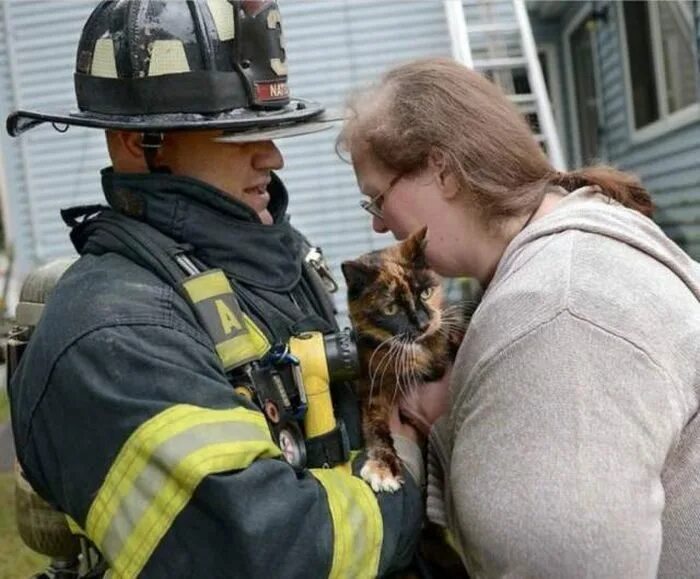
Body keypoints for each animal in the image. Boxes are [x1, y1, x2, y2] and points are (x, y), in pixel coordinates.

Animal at [340, 227, 464, 494]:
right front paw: (383, 467)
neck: (418, 353)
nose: (423, 324)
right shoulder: (372, 388)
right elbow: (376, 429)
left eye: (426, 293)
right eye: (391, 309)